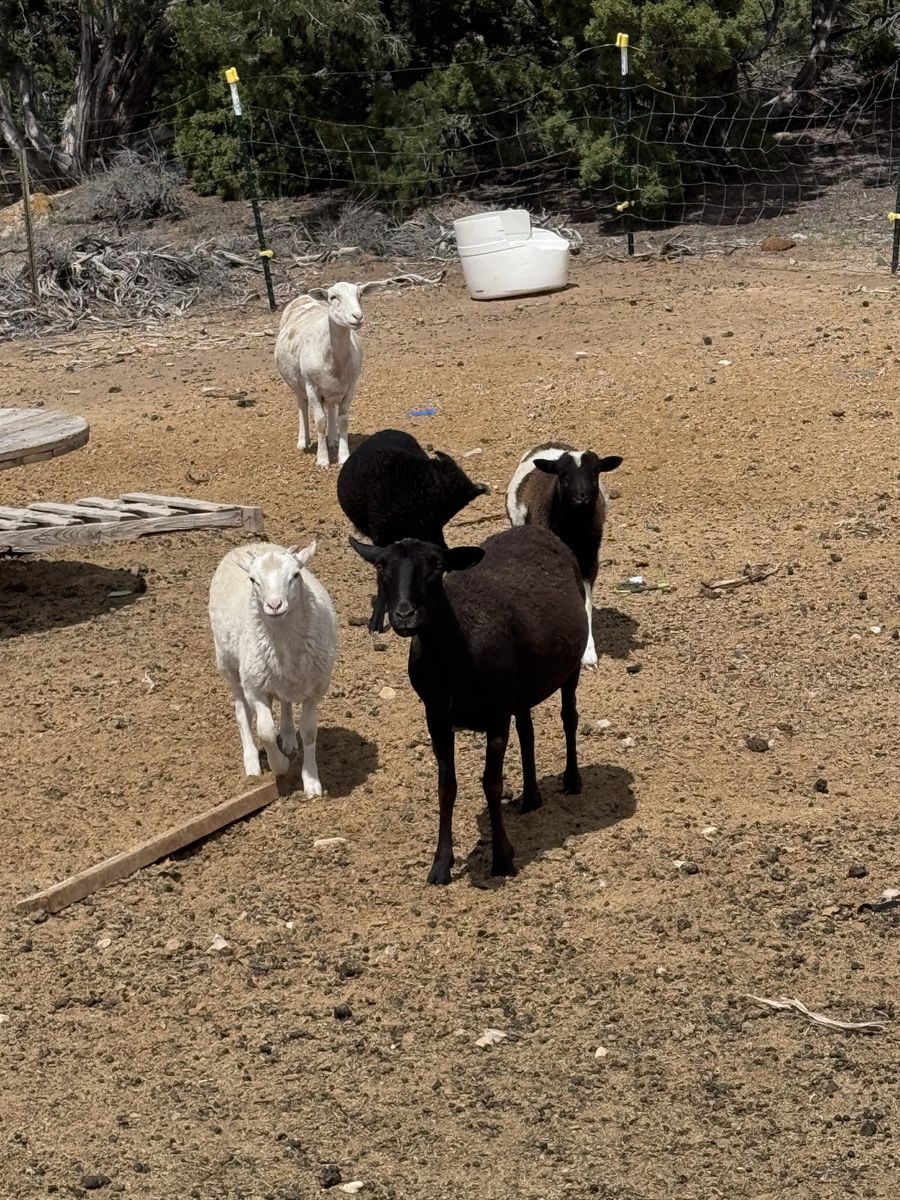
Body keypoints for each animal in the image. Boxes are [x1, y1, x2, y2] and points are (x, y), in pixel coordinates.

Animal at [208, 540, 338, 796]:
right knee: (242, 712)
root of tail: (249, 544)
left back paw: (288, 737)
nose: (274, 605)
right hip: (230, 666)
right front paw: (280, 766)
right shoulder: (254, 688)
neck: (283, 640)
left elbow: (309, 731)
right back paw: (251, 761)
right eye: (252, 580)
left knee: (285, 702)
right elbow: (265, 730)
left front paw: (311, 781)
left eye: (295, 575)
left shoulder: (317, 688)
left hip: (280, 678)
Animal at [274, 281, 382, 468]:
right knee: (302, 406)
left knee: (331, 407)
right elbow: (320, 421)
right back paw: (303, 441)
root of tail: (303, 296)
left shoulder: (350, 387)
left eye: (360, 294)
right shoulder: (311, 387)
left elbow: (343, 420)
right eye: (333, 297)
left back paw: (332, 439)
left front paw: (343, 456)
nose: (357, 316)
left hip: (332, 388)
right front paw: (323, 459)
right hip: (297, 383)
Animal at [350, 525, 587, 885]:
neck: (452, 657)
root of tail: (535, 529)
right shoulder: (436, 718)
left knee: (568, 716)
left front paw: (502, 858)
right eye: (380, 566)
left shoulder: (496, 717)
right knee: (527, 731)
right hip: (519, 689)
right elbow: (446, 788)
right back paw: (531, 797)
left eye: (437, 565)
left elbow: (491, 784)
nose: (404, 615)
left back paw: (572, 780)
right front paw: (440, 864)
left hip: (569, 667)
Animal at [506, 443, 622, 669]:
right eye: (562, 474)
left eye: (595, 471)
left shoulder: (589, 560)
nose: (582, 497)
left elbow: (585, 603)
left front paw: (588, 654)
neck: (574, 529)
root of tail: (549, 444)